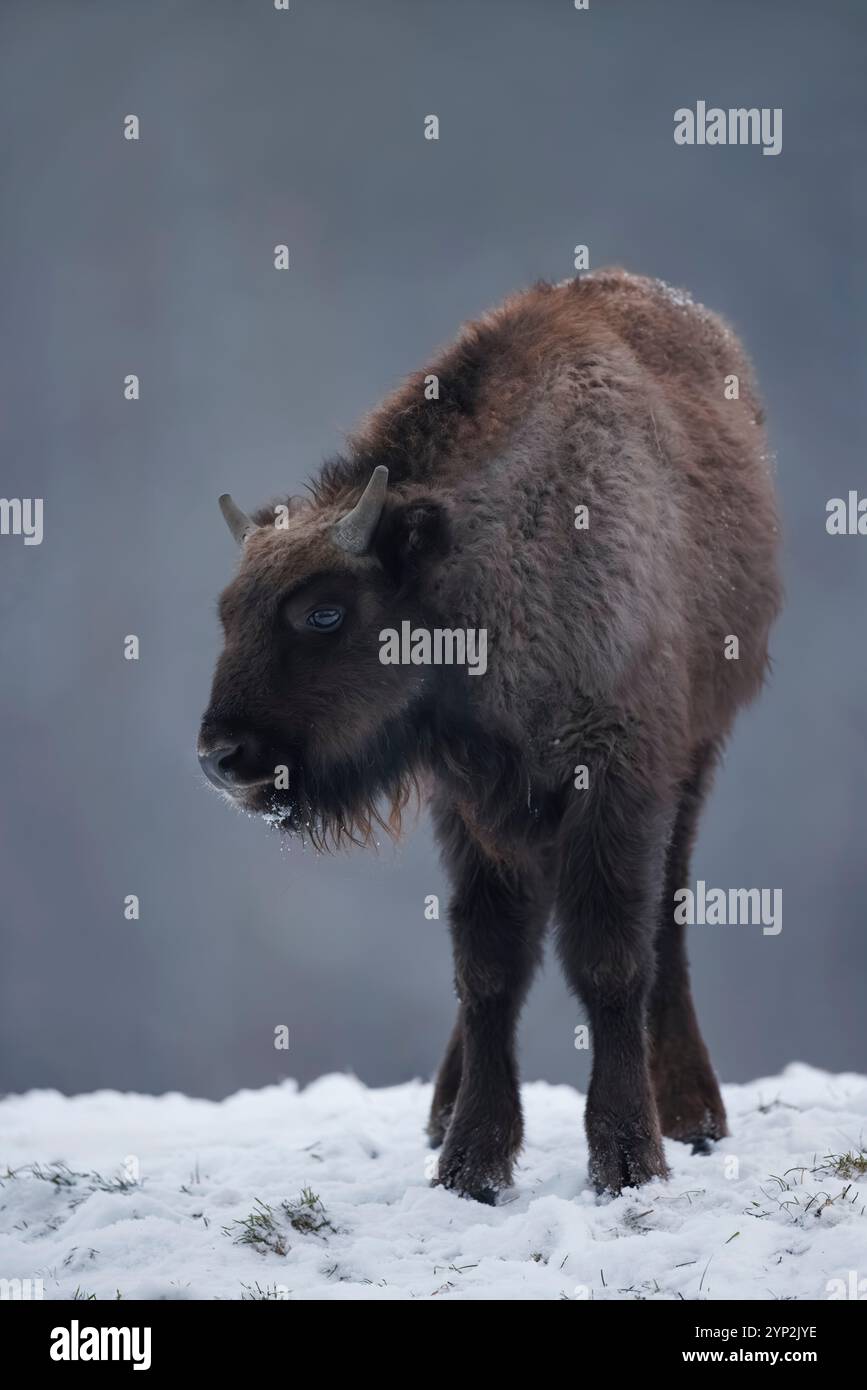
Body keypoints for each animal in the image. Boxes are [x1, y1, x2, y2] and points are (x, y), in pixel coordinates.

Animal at [200, 273, 783, 1206]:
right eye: (228, 613)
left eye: (324, 611)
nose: (224, 757)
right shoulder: (472, 799)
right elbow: (487, 968)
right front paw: (468, 1160)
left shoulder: (618, 776)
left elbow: (609, 957)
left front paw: (628, 1158)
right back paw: (443, 1110)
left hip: (695, 757)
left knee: (667, 915)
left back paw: (692, 1112)